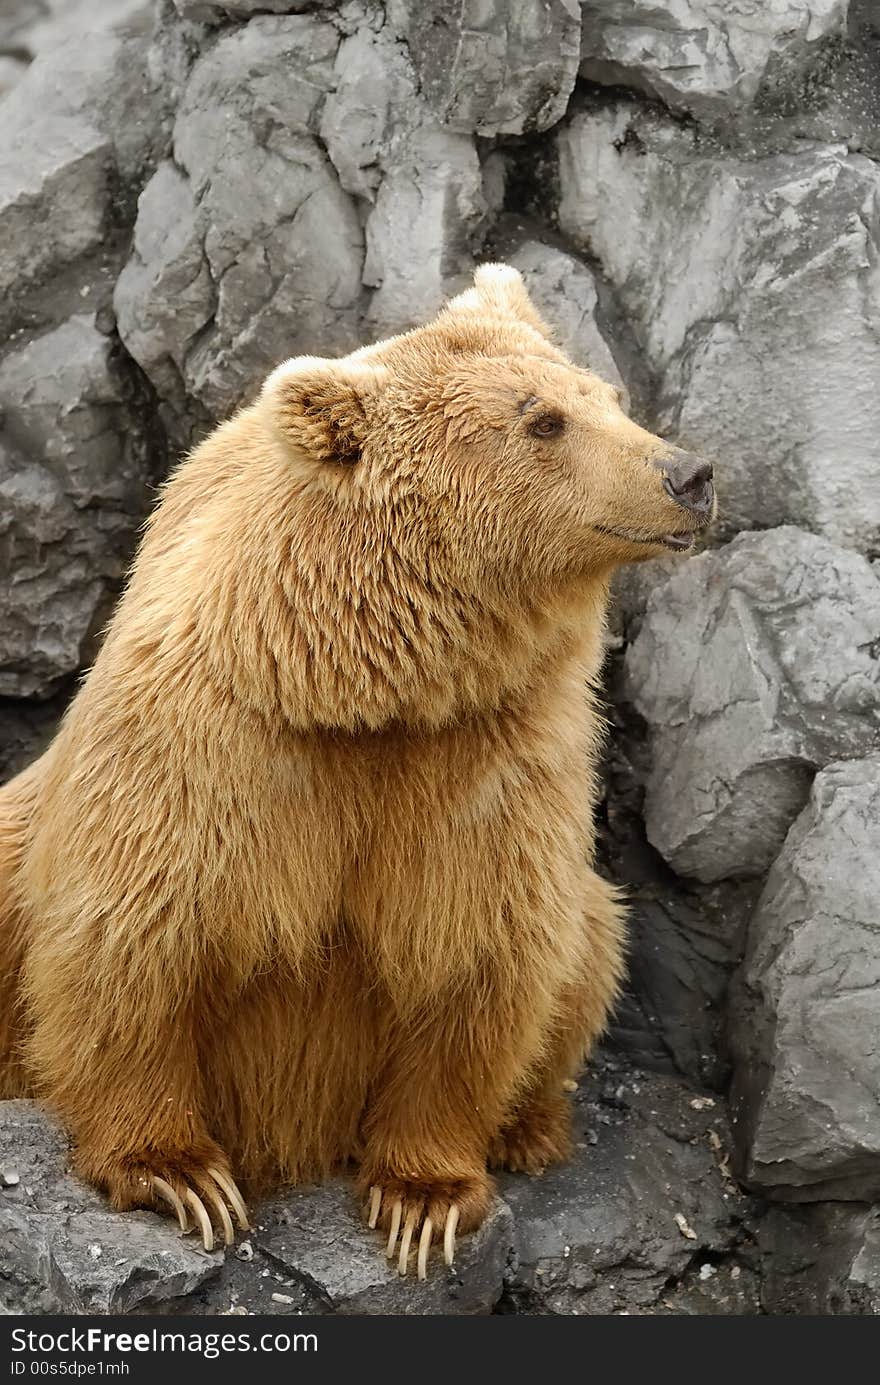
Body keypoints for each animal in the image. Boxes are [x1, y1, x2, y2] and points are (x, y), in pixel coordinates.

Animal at [0, 264, 715, 1279]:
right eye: (543, 420)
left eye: (608, 397)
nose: (689, 474)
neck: (364, 686)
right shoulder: (214, 750)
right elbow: (138, 937)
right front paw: (180, 1175)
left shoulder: (492, 755)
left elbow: (480, 947)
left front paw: (425, 1197)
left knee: (590, 939)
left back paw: (529, 1127)